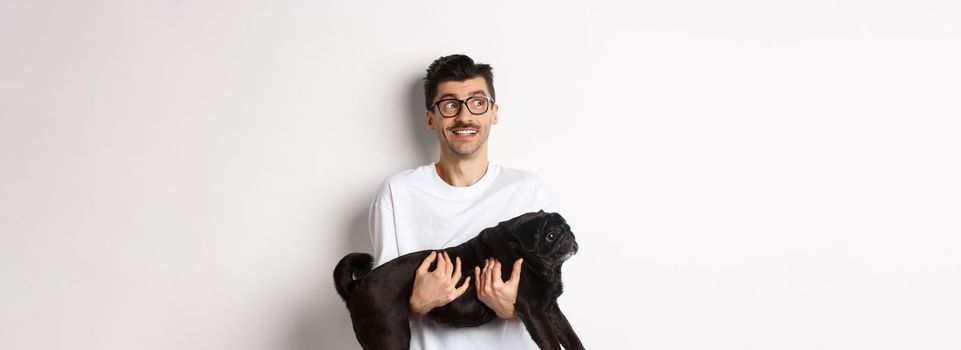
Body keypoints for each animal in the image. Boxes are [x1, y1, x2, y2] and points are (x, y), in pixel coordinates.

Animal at [334, 209, 580, 348]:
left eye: (568, 227)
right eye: (550, 236)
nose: (568, 235)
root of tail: (357, 286)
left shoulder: (551, 309)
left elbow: (571, 336)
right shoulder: (533, 310)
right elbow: (550, 341)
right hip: (392, 338)